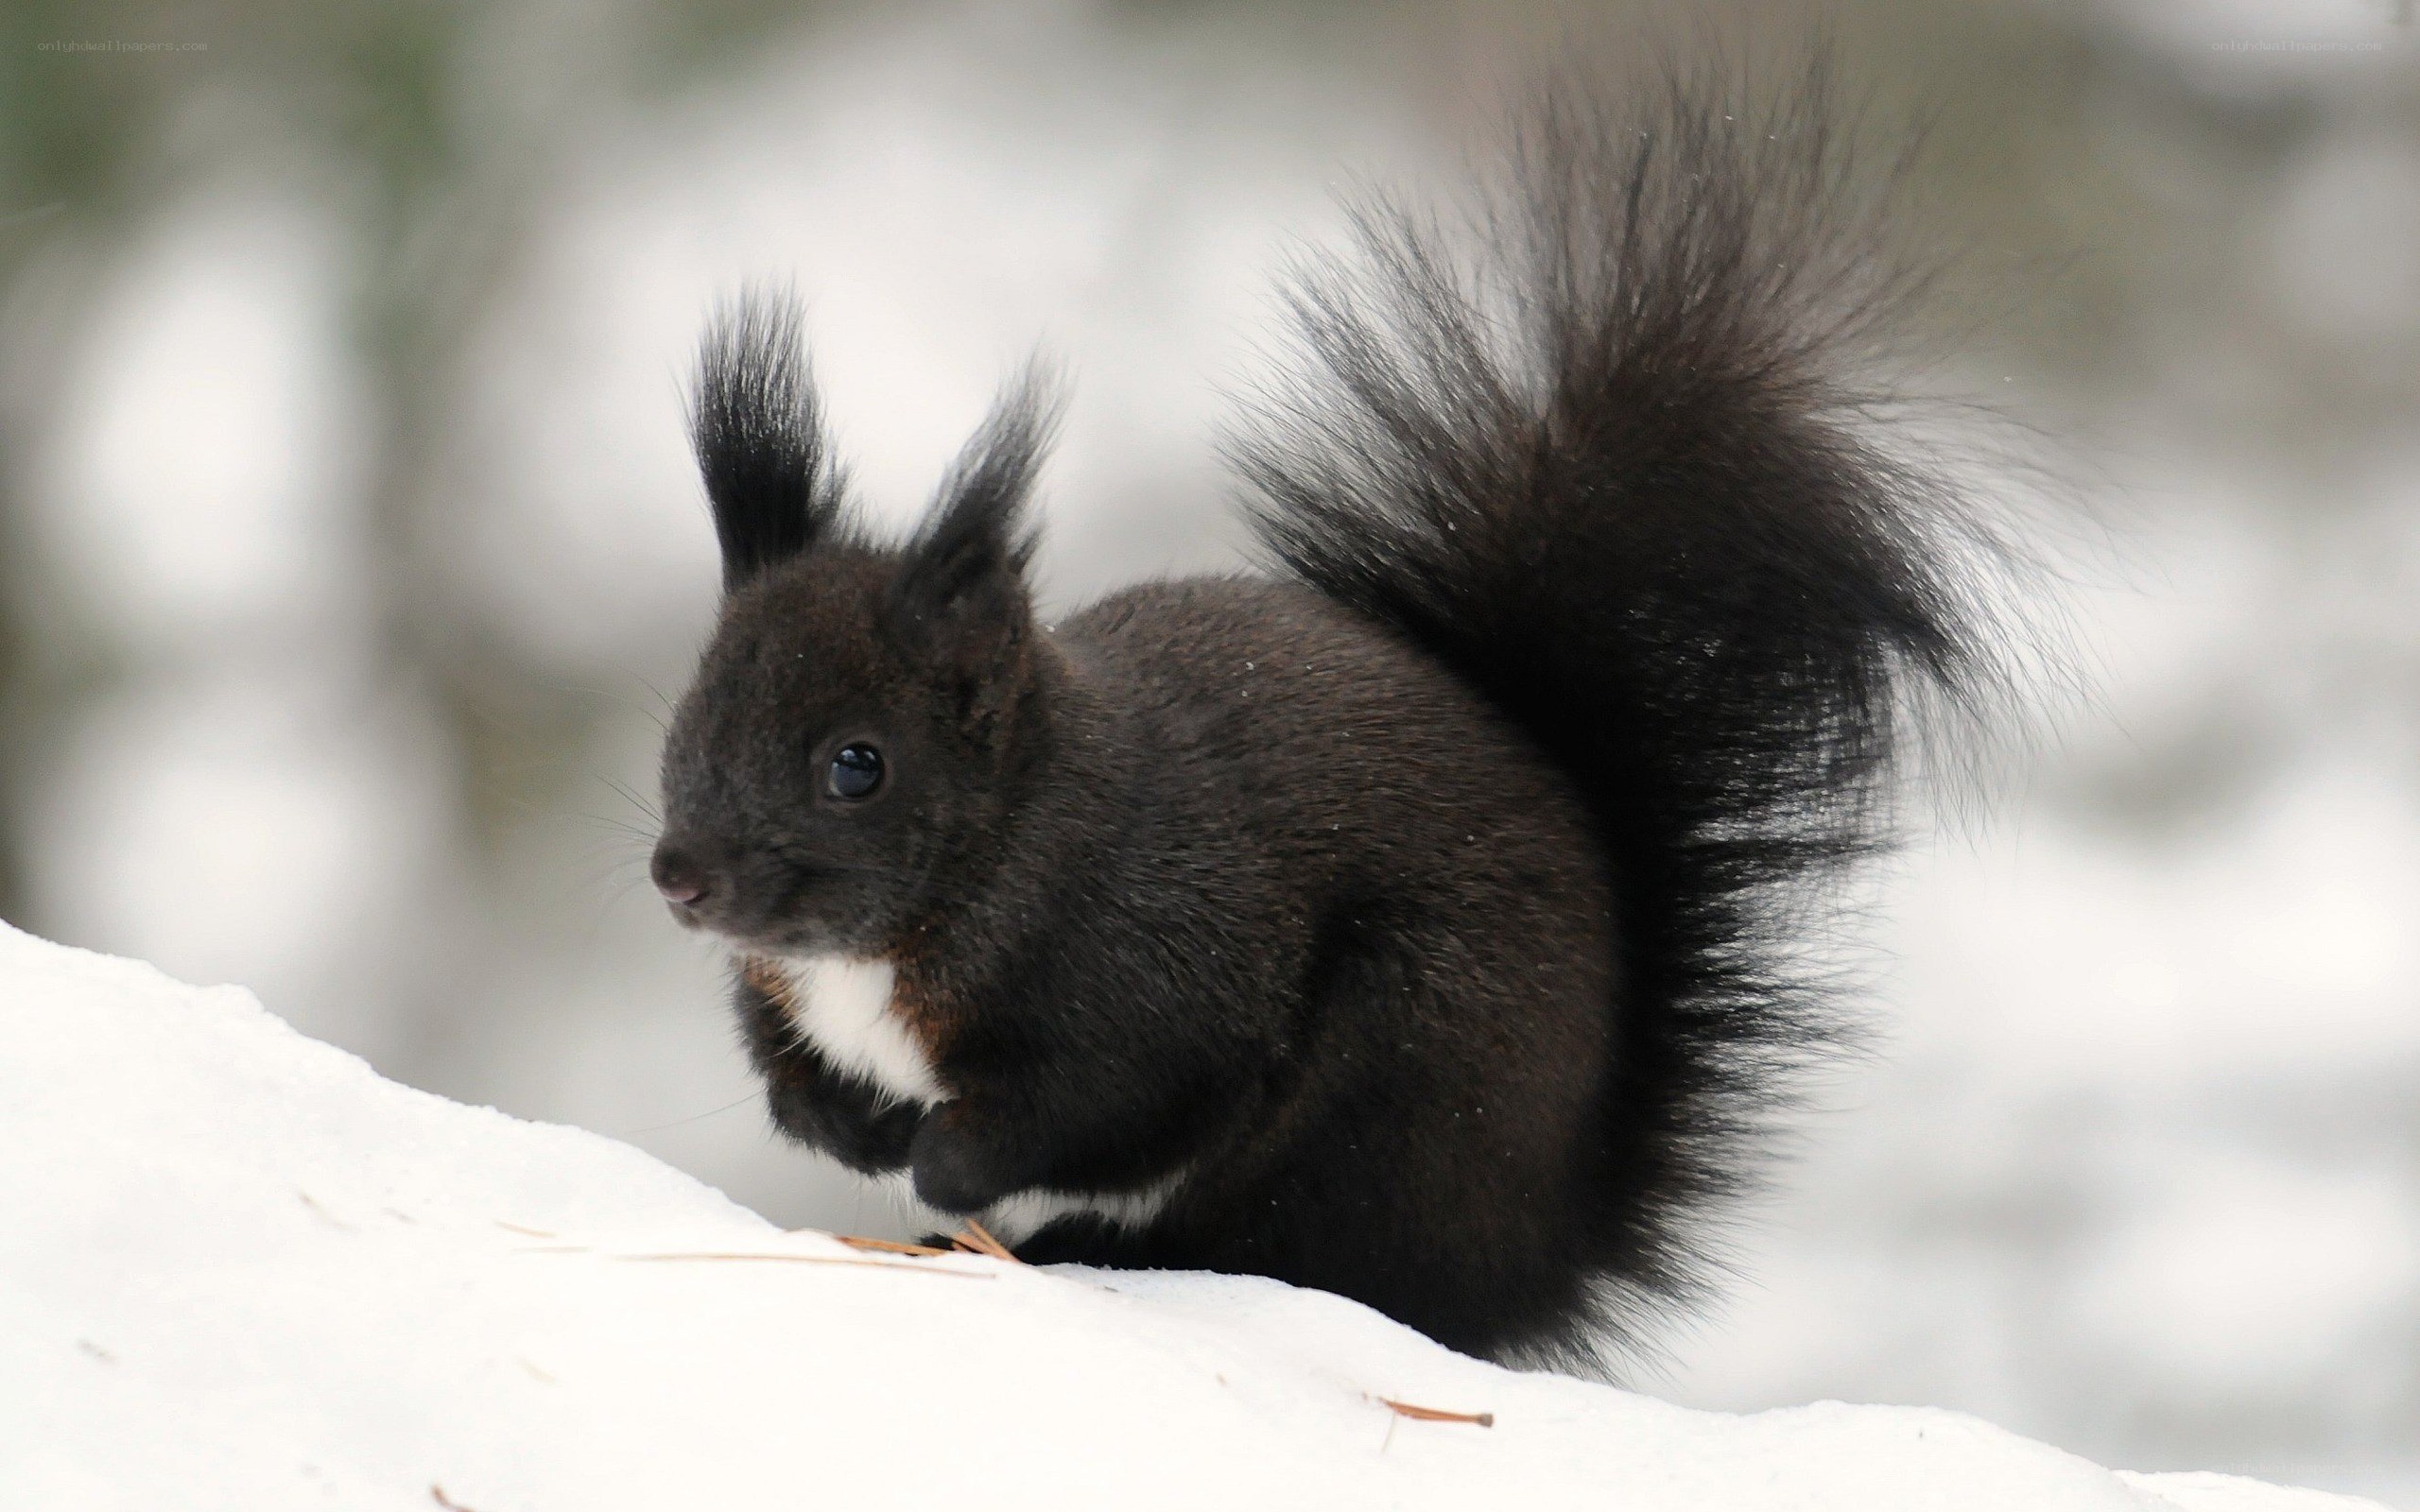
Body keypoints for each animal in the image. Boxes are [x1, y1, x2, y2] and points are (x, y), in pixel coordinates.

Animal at [647, 61, 2018, 1371]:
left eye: (856, 765)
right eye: (688, 720)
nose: (681, 879)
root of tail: (1545, 1248)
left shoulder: (1160, 973)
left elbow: (1103, 1105)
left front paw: (939, 1161)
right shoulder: (790, 994)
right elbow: (787, 1069)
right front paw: (847, 1124)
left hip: (1395, 1079)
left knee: (1290, 1247)